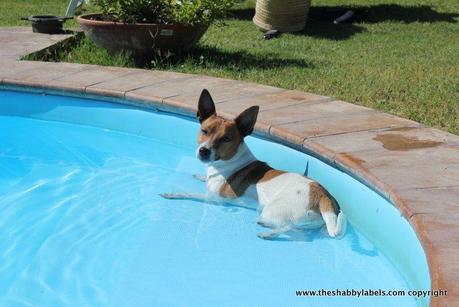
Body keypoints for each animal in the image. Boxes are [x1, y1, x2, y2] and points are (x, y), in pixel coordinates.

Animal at [160, 89, 346, 241]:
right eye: (204, 131)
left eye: (226, 139)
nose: (203, 151)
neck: (229, 161)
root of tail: (322, 195)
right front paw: (200, 176)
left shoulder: (216, 198)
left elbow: (190, 193)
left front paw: (172, 193)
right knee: (300, 232)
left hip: (270, 212)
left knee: (287, 226)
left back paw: (267, 233)